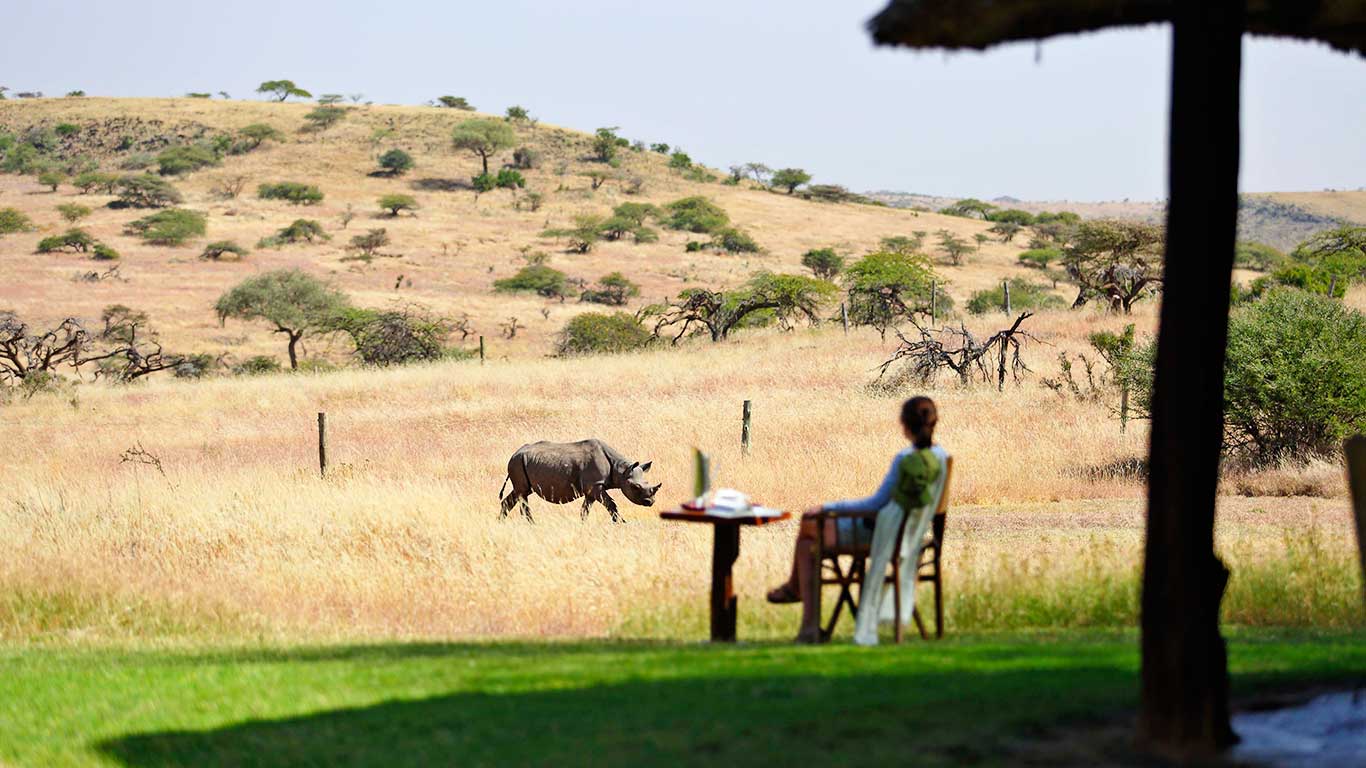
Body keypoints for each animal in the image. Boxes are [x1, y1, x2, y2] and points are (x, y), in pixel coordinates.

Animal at [499, 439, 661, 523]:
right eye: (635, 487)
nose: (650, 502)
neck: (620, 470)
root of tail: (514, 453)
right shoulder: (595, 485)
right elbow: (611, 504)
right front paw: (622, 522)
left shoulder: (592, 489)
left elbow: (585, 509)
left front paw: (583, 523)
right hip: (517, 462)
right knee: (522, 494)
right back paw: (532, 524)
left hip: (521, 462)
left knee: (519, 493)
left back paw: (501, 522)